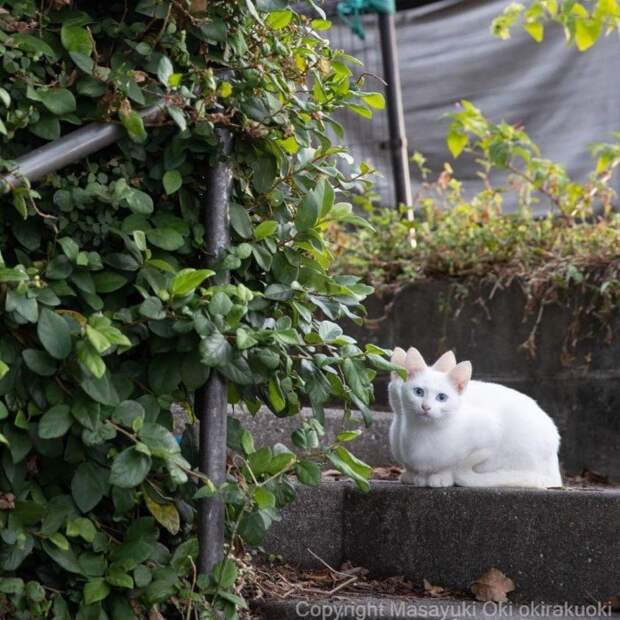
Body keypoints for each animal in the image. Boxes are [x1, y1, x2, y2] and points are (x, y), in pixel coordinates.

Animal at [390, 346, 564, 486]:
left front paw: (441, 476)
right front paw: (414, 476)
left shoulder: (489, 432)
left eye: (441, 397)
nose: (426, 407)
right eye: (419, 392)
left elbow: (457, 464)